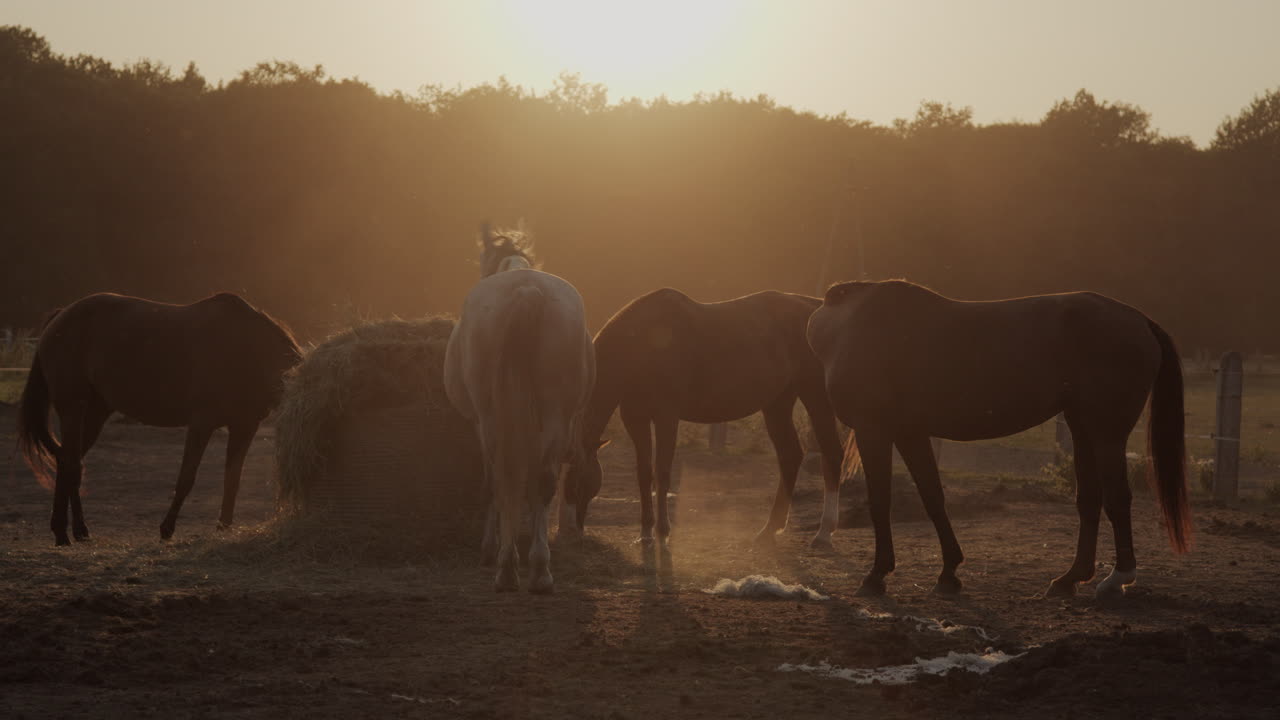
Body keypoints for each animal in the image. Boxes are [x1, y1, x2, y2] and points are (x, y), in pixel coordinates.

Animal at [16, 292, 302, 546]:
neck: (247, 350)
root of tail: (60, 316)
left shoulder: (244, 426)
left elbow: (232, 480)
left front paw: (224, 528)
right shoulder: (202, 423)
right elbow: (186, 478)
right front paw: (167, 529)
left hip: (96, 413)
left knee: (68, 460)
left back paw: (74, 532)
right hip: (72, 409)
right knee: (71, 464)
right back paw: (67, 533)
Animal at [444, 226, 595, 593]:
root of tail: (527, 291)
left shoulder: (480, 422)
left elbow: (493, 486)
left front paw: (490, 550)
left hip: (489, 418)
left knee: (498, 480)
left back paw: (506, 566)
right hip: (555, 414)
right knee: (542, 481)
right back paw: (538, 570)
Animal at [563, 288, 847, 549]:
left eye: (577, 479)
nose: (572, 531)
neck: (642, 345)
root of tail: (818, 307)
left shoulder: (666, 417)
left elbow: (662, 471)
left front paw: (663, 531)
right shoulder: (636, 419)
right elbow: (644, 473)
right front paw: (645, 533)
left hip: (815, 395)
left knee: (832, 452)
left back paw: (823, 533)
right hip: (777, 403)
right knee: (790, 456)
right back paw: (768, 529)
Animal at [806, 279, 1190, 599]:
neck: (847, 327)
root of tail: (1139, 320)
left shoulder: (874, 430)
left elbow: (880, 501)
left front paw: (876, 575)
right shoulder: (910, 432)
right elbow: (932, 497)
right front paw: (949, 572)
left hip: (1107, 433)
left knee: (1117, 498)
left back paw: (1118, 578)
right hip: (1082, 429)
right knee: (1090, 499)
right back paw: (1070, 578)